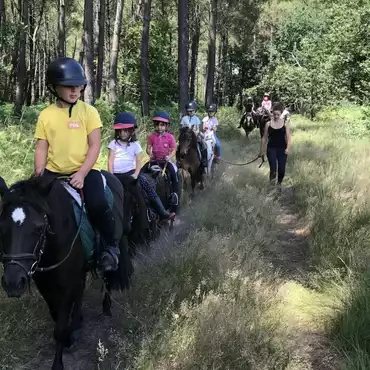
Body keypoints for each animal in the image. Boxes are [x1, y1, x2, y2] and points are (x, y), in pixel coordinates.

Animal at [0, 175, 134, 370]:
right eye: (1, 229)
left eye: (38, 228)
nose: (12, 282)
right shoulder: (46, 284)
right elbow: (56, 316)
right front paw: (70, 336)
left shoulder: (68, 284)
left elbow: (60, 327)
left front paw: (58, 363)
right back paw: (78, 323)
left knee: (107, 278)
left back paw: (106, 308)